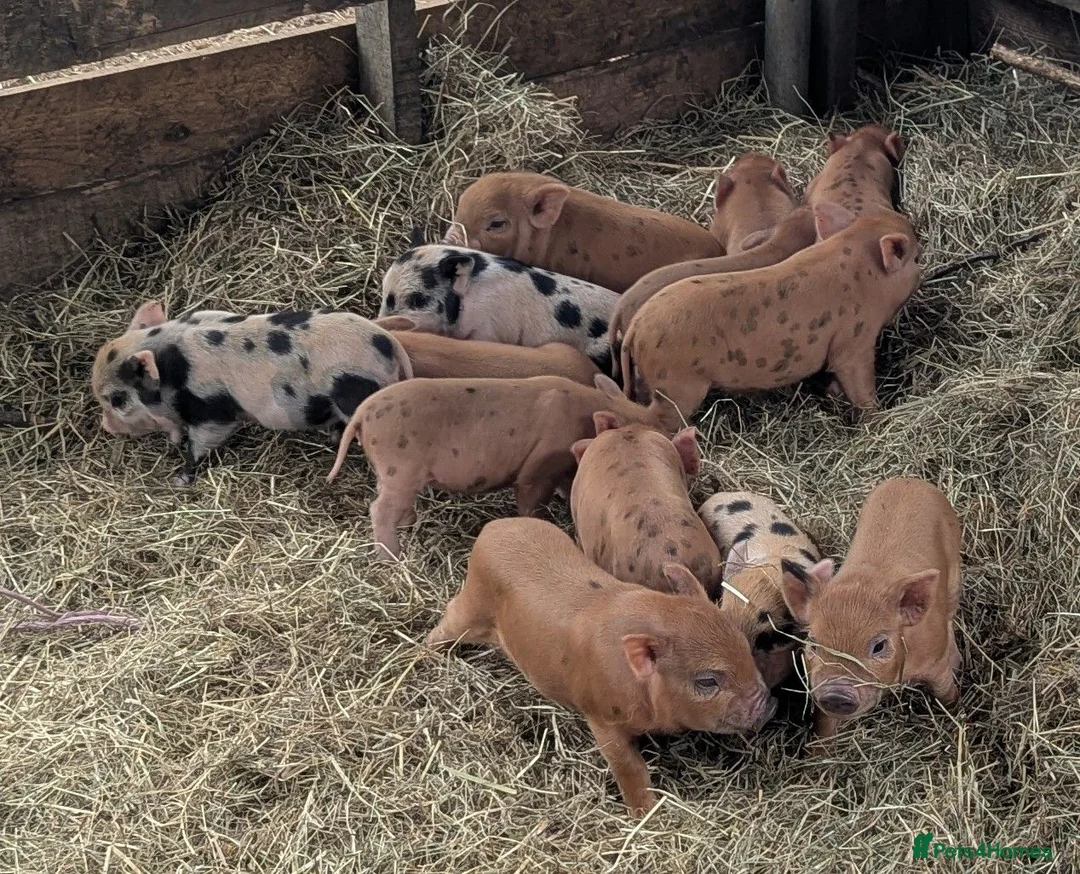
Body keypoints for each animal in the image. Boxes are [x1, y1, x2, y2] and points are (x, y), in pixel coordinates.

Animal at [91, 301, 411, 484]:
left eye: (117, 400)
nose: (105, 426)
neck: (175, 371)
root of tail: (388, 342)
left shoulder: (214, 411)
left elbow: (200, 445)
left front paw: (178, 481)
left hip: (354, 391)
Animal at [325, 374, 666, 558]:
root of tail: (362, 413)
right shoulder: (539, 467)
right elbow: (530, 500)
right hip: (400, 468)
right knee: (379, 509)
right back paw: (393, 558)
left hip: (390, 473)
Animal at [426, 516, 776, 815]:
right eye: (707, 681)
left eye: (745, 648)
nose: (769, 702)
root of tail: (492, 528)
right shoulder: (601, 717)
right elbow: (628, 766)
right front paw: (645, 815)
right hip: (472, 607)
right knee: (449, 616)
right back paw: (431, 651)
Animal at [620, 202, 922, 426]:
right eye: (915, 257)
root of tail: (636, 328)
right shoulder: (855, 340)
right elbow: (860, 384)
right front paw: (877, 416)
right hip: (678, 385)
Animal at [780, 478, 962, 739]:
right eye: (813, 643)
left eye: (879, 646)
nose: (836, 694)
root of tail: (910, 480)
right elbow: (824, 723)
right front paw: (818, 748)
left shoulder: (935, 661)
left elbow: (946, 692)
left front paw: (956, 710)